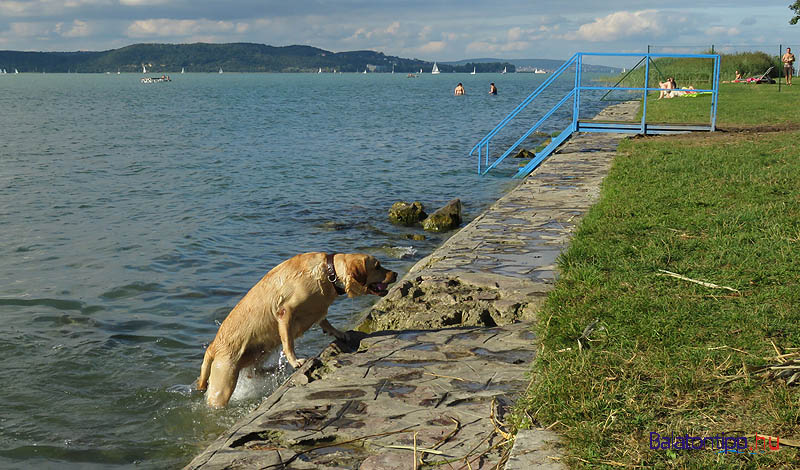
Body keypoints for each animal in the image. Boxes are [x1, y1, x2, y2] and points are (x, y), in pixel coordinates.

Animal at [197, 253, 396, 408]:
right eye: (377, 266)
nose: (395, 273)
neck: (329, 274)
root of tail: (213, 347)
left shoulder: (317, 310)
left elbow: (325, 322)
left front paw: (338, 333)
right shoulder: (285, 312)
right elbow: (288, 342)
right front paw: (295, 361)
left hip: (254, 356)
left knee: (255, 372)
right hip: (224, 383)